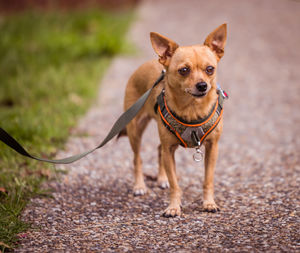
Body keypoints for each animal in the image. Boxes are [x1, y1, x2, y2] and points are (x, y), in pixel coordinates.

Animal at [122, 24, 225, 217]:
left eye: (210, 69)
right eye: (184, 70)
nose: (202, 85)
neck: (192, 108)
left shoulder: (212, 147)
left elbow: (208, 180)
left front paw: (209, 203)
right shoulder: (169, 150)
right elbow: (175, 184)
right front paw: (173, 207)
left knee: (158, 149)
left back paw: (161, 179)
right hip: (135, 130)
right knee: (137, 159)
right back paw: (139, 186)